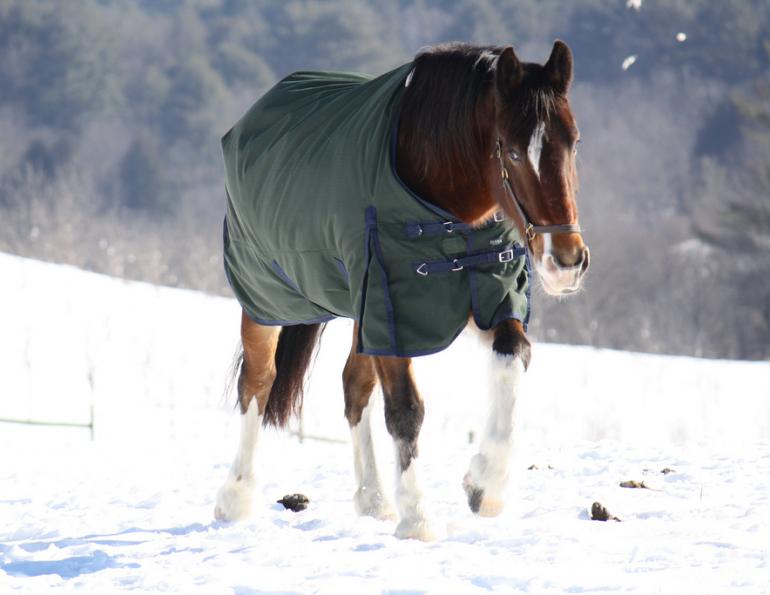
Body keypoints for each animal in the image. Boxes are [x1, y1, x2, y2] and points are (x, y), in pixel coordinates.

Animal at [214, 41, 589, 541]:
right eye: (511, 152)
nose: (566, 262)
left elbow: (513, 359)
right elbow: (406, 410)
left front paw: (484, 486)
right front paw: (418, 519)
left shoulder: (483, 297)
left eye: (574, 141)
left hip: (361, 313)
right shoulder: (393, 311)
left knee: (353, 387)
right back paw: (235, 497)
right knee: (257, 381)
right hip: (268, 297)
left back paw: (373, 499)